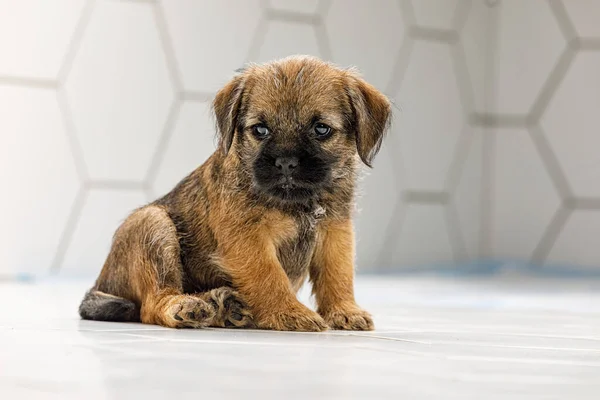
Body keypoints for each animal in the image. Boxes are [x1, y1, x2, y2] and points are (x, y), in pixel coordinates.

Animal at [77, 56, 392, 332]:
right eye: (260, 130)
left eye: (321, 129)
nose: (285, 162)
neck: (296, 202)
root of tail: (100, 283)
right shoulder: (248, 238)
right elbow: (269, 276)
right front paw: (289, 312)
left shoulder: (335, 231)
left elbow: (337, 274)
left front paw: (344, 310)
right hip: (151, 224)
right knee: (151, 304)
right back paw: (187, 306)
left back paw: (224, 306)